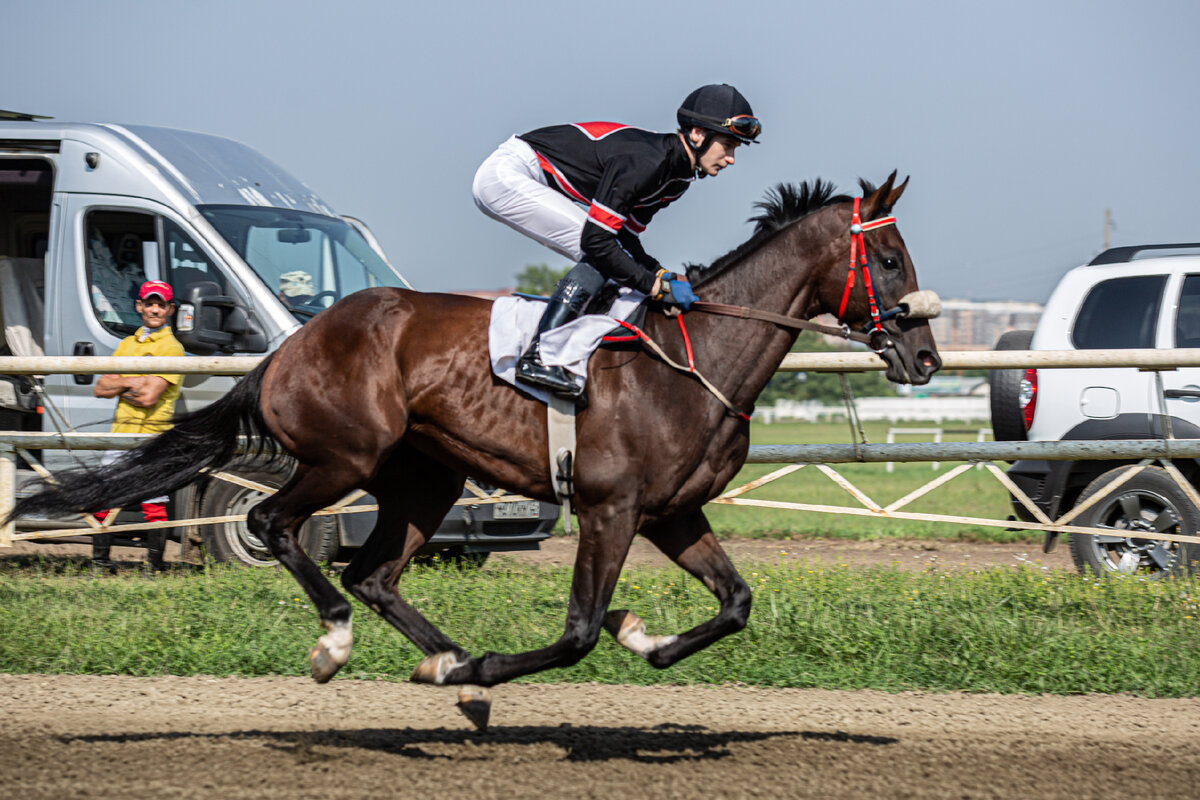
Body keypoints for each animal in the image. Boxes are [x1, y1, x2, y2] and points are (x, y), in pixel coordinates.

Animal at [14, 170, 940, 734]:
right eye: (891, 257)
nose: (926, 358)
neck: (694, 359)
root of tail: (289, 346)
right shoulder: (610, 509)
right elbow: (576, 633)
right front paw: (527, 656)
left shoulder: (671, 513)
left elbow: (736, 604)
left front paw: (639, 637)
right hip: (343, 459)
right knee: (278, 527)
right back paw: (344, 646)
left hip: (426, 478)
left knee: (376, 575)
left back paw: (448, 669)